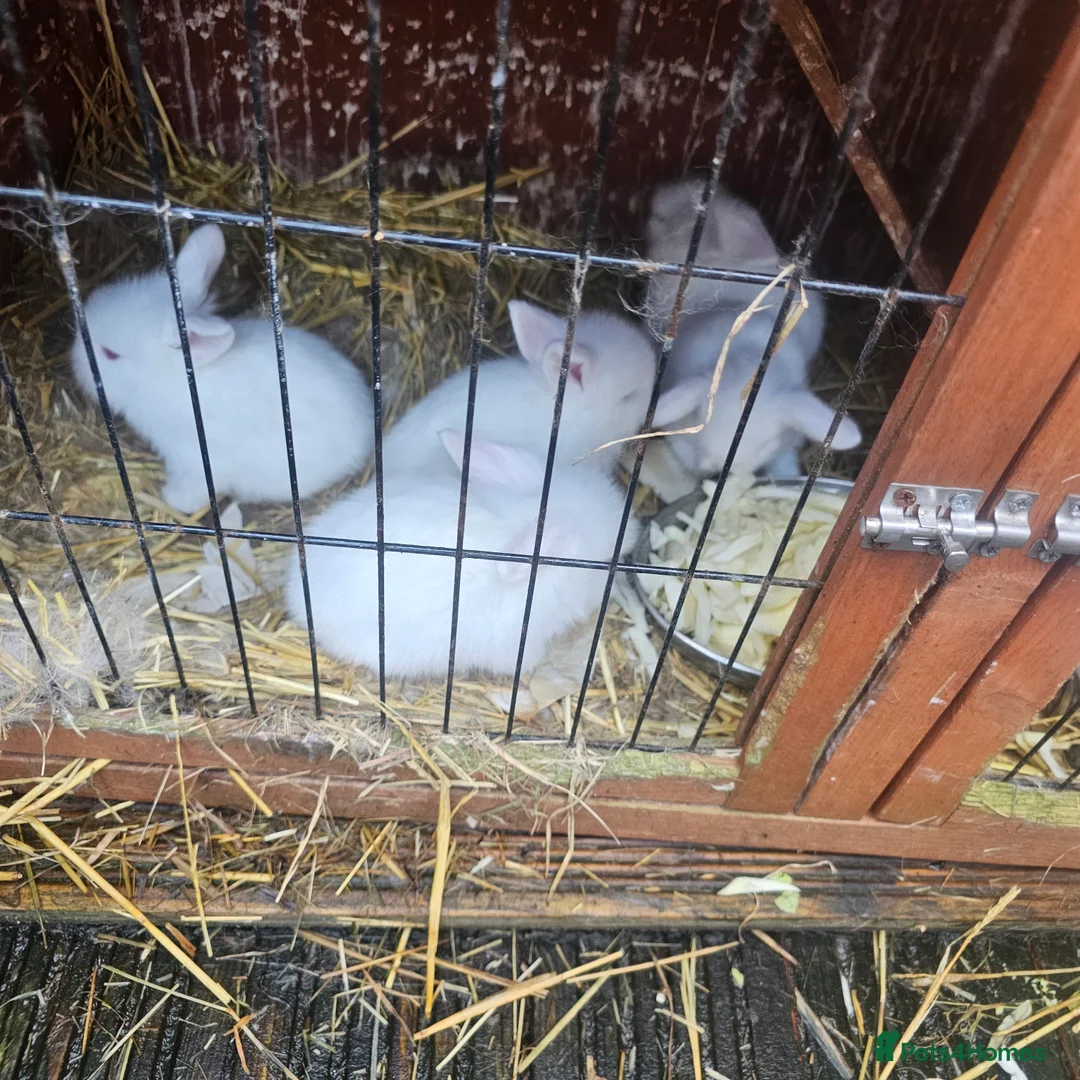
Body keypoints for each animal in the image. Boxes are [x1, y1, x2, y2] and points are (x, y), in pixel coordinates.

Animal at [69, 224, 375, 514]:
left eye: (110, 354)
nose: (75, 360)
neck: (167, 382)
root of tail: (367, 434)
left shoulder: (195, 457)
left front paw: (171, 498)